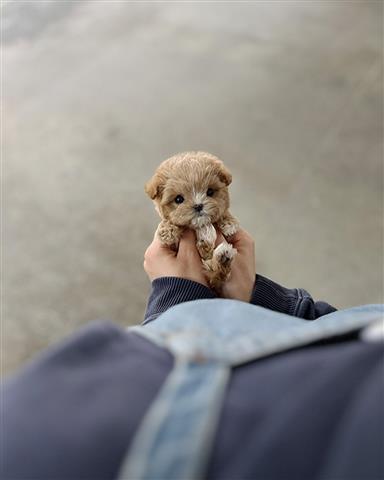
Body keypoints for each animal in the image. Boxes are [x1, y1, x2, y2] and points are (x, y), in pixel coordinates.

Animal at [146, 152, 240, 290]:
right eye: (178, 199)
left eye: (210, 192)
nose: (198, 205)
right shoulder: (173, 245)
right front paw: (168, 231)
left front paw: (229, 223)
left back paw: (223, 256)